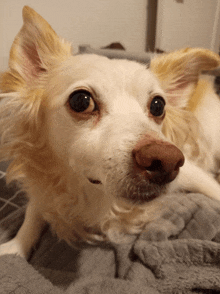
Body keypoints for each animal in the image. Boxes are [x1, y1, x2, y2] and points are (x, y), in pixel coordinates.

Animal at [0, 6, 220, 258]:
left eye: (158, 106)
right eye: (81, 100)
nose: (167, 161)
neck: (99, 198)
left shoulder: (191, 173)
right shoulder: (44, 189)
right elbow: (34, 211)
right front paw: (15, 246)